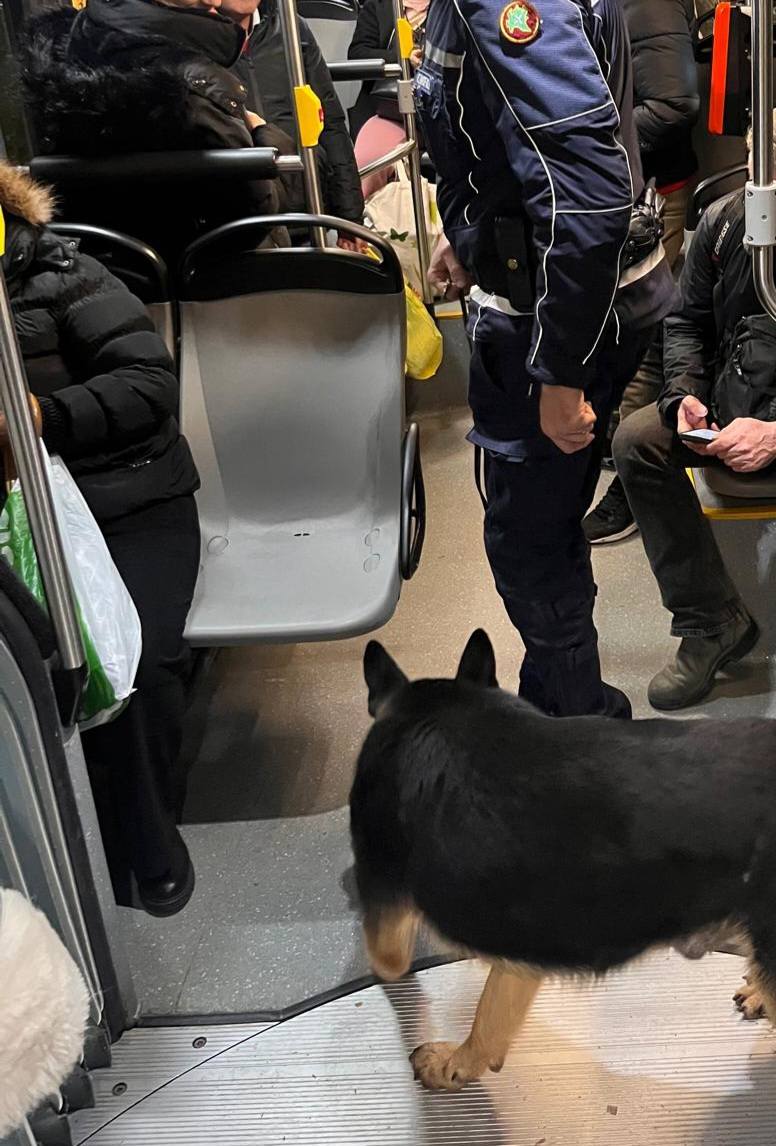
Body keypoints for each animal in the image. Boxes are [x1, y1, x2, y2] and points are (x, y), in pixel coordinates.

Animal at [348, 637, 774, 1090]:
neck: (441, 708)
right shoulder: (527, 939)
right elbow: (490, 1017)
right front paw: (458, 1065)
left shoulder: (383, 890)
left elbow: (389, 959)